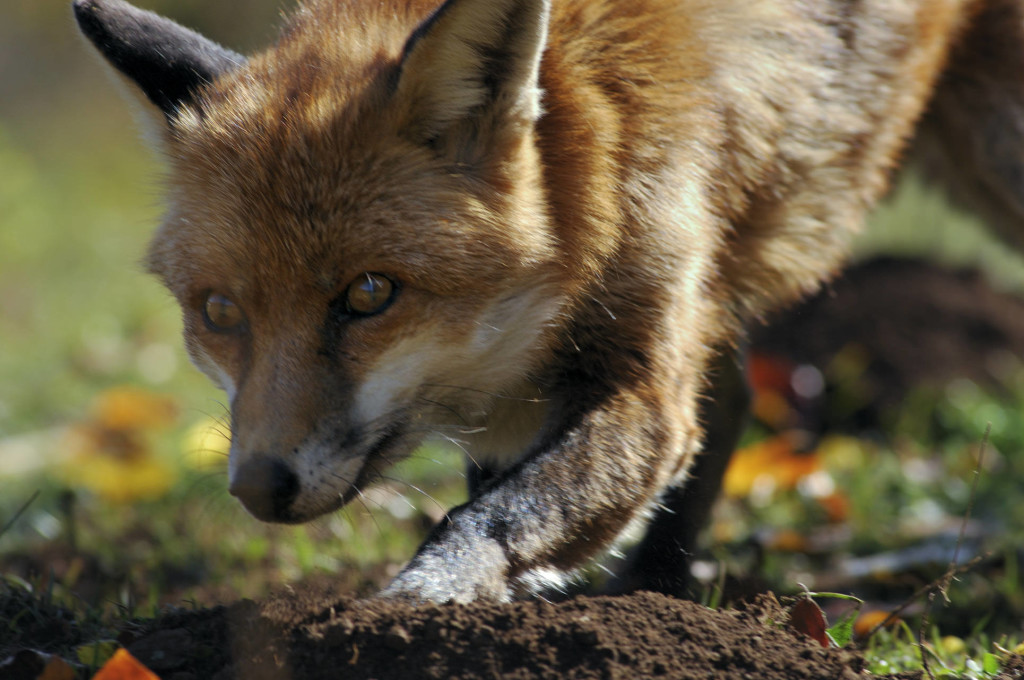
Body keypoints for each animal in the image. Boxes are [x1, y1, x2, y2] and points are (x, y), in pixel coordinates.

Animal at [74, 0, 1024, 602]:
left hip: (996, 155)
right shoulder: (533, 398)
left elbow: (496, 514)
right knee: (732, 402)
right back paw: (658, 593)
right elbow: (508, 497)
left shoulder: (645, 380)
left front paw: (416, 609)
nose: (259, 487)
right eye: (219, 314)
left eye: (370, 293)